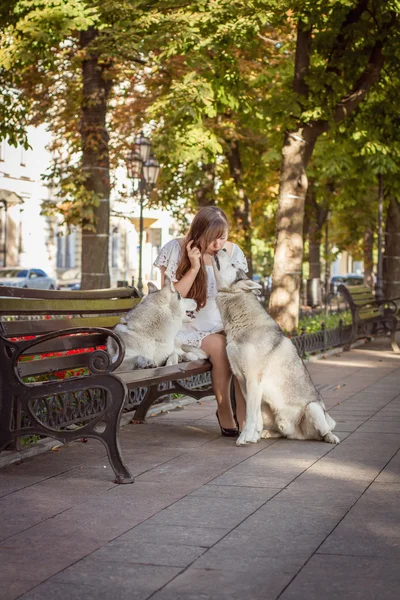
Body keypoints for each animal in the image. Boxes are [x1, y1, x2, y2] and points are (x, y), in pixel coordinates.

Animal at [211, 248, 340, 446]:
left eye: (233, 264)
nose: (223, 248)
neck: (242, 325)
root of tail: (297, 434)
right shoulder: (242, 381)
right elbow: (253, 415)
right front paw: (253, 436)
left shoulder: (253, 380)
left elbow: (249, 415)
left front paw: (245, 437)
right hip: (269, 408)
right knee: (282, 432)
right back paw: (267, 433)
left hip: (313, 408)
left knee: (324, 431)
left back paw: (331, 438)